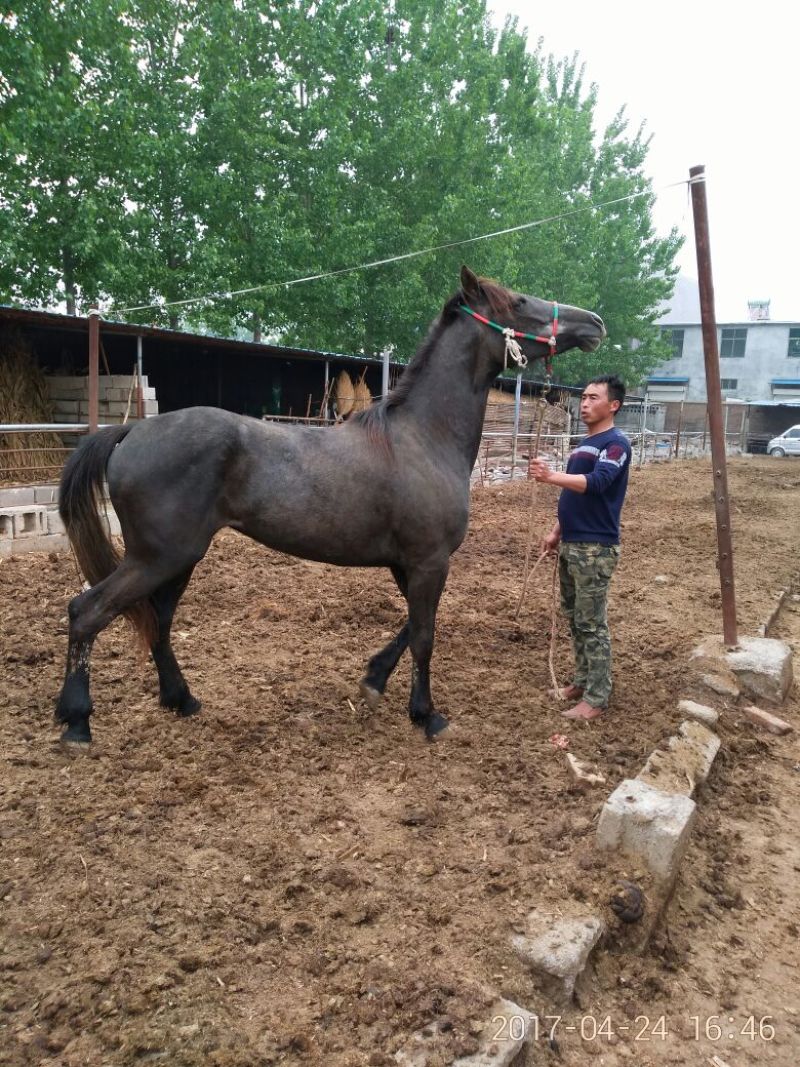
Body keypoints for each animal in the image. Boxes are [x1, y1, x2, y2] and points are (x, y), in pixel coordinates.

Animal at [56, 268, 605, 742]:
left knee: (158, 621)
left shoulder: (409, 564)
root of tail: (132, 432)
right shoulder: (429, 561)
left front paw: (374, 680)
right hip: (157, 557)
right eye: (520, 302)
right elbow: (425, 633)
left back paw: (181, 700)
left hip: (178, 559)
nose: (594, 324)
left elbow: (412, 625)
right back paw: (76, 722)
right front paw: (426, 715)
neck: (424, 437)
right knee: (87, 612)